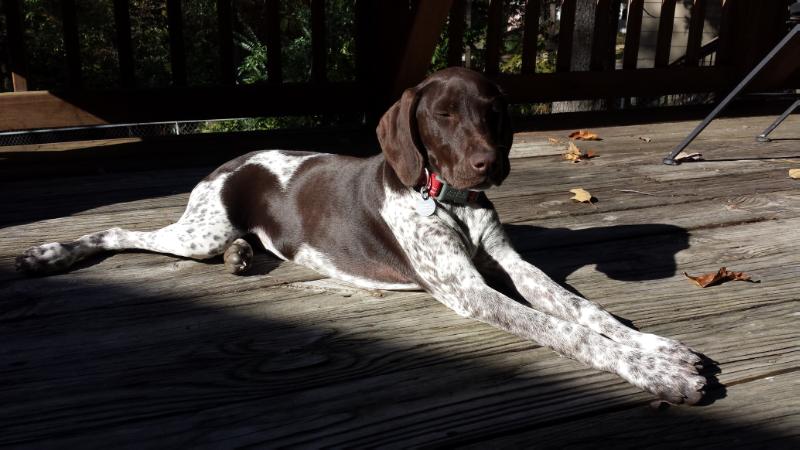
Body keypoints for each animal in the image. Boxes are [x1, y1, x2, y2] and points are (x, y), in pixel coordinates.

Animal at [17, 67, 708, 404]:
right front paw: (656, 372)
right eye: (442, 115)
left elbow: (587, 310)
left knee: (233, 244)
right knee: (118, 230)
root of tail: (234, 160)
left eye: (492, 111)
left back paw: (243, 254)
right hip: (196, 230)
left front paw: (658, 348)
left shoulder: (511, 263)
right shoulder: (469, 290)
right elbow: (564, 329)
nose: (489, 165)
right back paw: (52, 252)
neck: (447, 198)